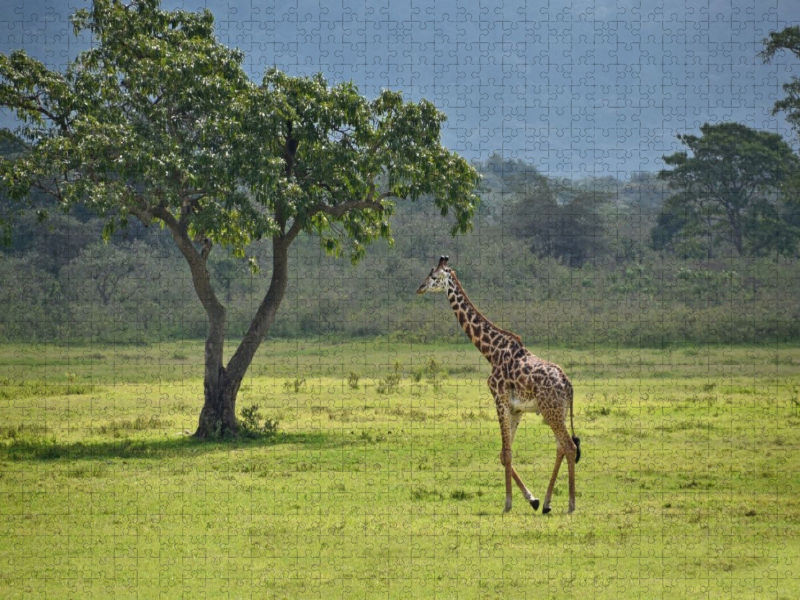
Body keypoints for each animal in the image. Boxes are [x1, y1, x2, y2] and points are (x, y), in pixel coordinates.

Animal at [417, 256, 581, 514]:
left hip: (550, 410)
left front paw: (508, 503)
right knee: (561, 447)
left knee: (569, 446)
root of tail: (568, 384)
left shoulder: (499, 399)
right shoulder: (516, 409)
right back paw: (546, 503)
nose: (420, 287)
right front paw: (532, 499)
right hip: (558, 411)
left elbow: (507, 454)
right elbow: (504, 453)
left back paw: (571, 504)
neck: (490, 351)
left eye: (434, 276)